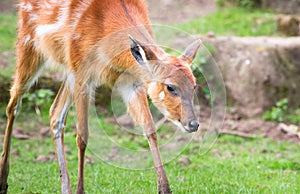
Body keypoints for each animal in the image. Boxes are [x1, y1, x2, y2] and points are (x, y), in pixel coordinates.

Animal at [0, 0, 202, 193]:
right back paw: (3, 180)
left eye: (194, 86)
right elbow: (82, 136)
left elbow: (150, 129)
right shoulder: (83, 75)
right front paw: (80, 190)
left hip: (67, 72)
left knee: (54, 113)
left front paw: (164, 188)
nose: (193, 124)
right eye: (170, 87)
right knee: (13, 104)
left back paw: (65, 187)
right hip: (28, 44)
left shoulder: (131, 83)